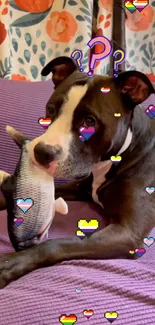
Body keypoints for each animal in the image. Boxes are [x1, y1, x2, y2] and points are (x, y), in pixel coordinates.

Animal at [0, 53, 154, 288]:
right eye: (51, 110)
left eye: (89, 122)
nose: (41, 152)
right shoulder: (80, 187)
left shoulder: (128, 232)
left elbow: (58, 244)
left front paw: (10, 263)